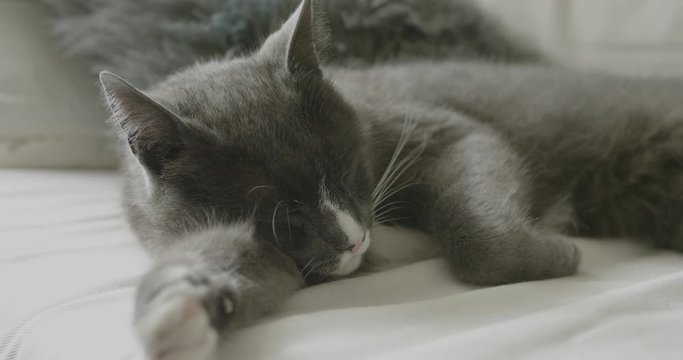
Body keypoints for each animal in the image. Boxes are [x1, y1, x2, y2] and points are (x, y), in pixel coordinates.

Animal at [99, 1, 683, 358]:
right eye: (283, 216)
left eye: (348, 167)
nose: (355, 239)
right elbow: (241, 260)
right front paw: (177, 309)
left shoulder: (439, 128)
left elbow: (481, 227)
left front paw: (557, 253)